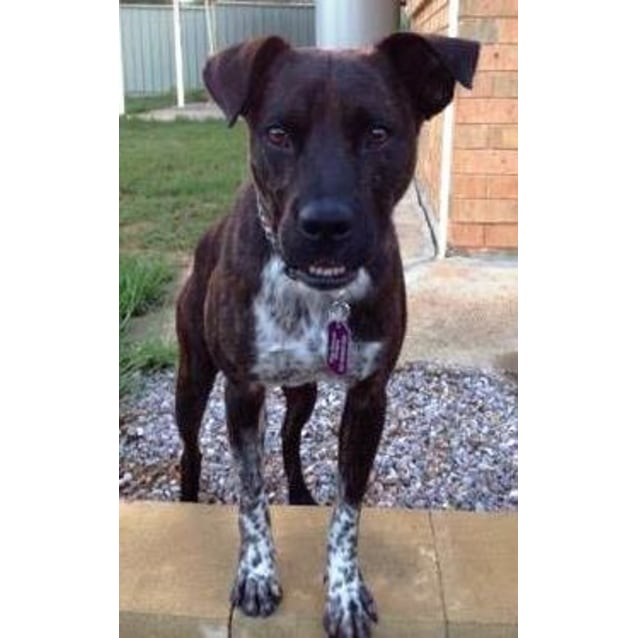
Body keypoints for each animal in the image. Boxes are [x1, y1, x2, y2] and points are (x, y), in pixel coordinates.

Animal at [175, 33, 480, 638]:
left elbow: (348, 508)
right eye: (277, 133)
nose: (325, 224)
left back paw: (299, 492)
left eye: (378, 134)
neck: (317, 294)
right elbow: (250, 496)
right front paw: (257, 574)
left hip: (305, 391)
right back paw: (189, 498)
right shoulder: (242, 391)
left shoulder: (368, 397)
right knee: (191, 449)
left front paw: (344, 593)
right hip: (193, 378)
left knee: (291, 439)